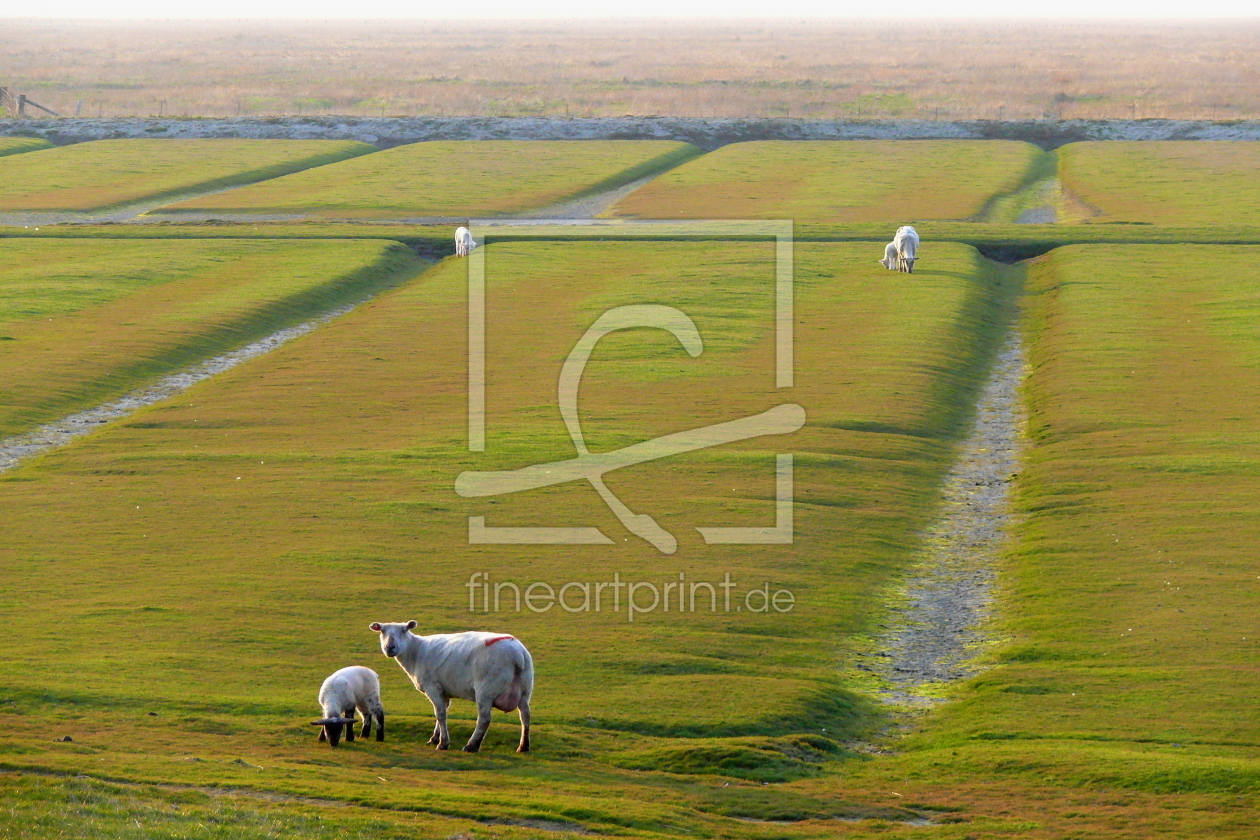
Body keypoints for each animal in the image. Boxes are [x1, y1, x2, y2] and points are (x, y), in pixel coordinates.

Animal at [370, 622, 534, 750]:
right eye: (382, 631)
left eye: (404, 630)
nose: (390, 647)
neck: (416, 651)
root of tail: (517, 653)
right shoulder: (445, 690)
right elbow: (442, 712)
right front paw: (435, 738)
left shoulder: (433, 687)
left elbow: (441, 714)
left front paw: (443, 744)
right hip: (525, 688)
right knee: (525, 715)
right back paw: (523, 746)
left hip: (486, 688)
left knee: (485, 718)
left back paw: (471, 746)